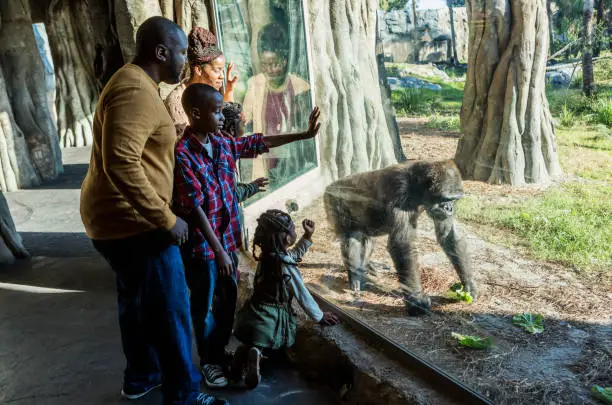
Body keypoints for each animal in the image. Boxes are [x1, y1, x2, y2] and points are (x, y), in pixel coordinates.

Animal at [322, 159, 476, 314]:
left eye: (455, 200)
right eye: (446, 198)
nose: (450, 208)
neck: (419, 186)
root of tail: (329, 186)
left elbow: (449, 236)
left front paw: (468, 285)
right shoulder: (400, 191)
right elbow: (402, 243)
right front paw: (416, 300)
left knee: (367, 239)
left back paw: (365, 268)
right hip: (332, 198)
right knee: (352, 236)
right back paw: (354, 275)